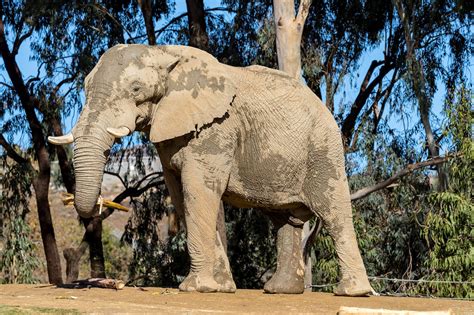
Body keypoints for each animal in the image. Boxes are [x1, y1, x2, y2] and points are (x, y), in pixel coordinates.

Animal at [48, 43, 374, 296]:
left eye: (136, 89)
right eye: (85, 88)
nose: (103, 203)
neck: (164, 53)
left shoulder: (216, 129)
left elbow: (198, 190)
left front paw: (197, 288)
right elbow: (181, 194)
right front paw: (220, 288)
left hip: (323, 149)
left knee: (333, 211)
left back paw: (352, 293)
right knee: (285, 220)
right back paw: (278, 290)